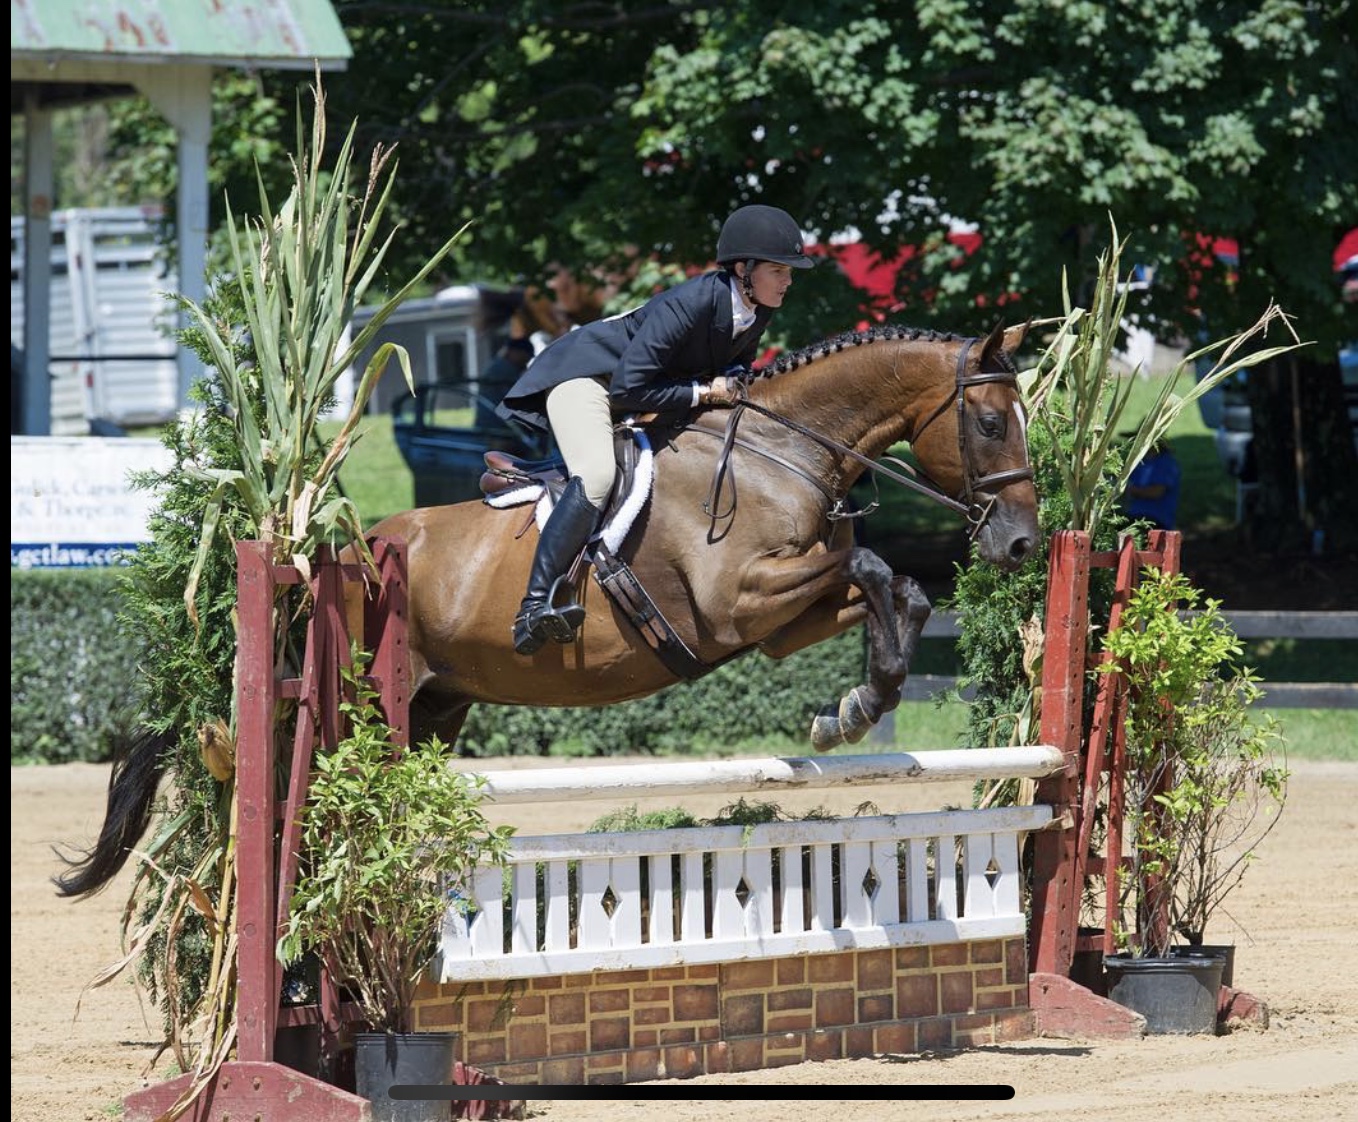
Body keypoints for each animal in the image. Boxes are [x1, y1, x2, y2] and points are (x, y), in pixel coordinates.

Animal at [50, 319, 1026, 896]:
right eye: (989, 425)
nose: (1019, 544)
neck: (774, 453)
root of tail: (321, 556)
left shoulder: (782, 623)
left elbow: (891, 586)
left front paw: (858, 702)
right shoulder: (738, 603)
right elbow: (865, 560)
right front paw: (858, 703)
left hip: (434, 708)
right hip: (355, 699)